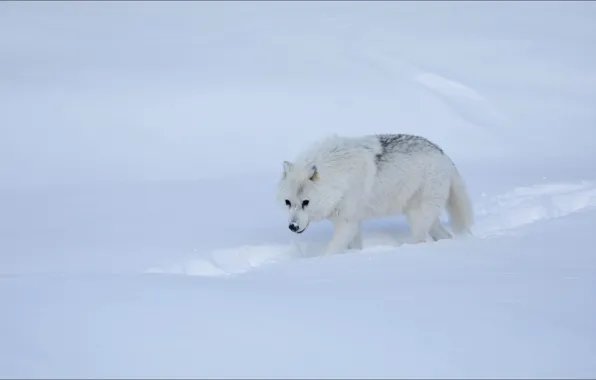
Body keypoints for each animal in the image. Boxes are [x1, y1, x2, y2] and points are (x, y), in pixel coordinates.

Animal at [276, 134, 474, 255]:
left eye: (306, 202)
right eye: (288, 202)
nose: (292, 226)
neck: (338, 177)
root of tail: (445, 157)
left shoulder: (347, 224)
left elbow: (331, 251)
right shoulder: (354, 223)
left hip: (418, 219)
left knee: (421, 241)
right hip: (426, 219)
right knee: (446, 236)